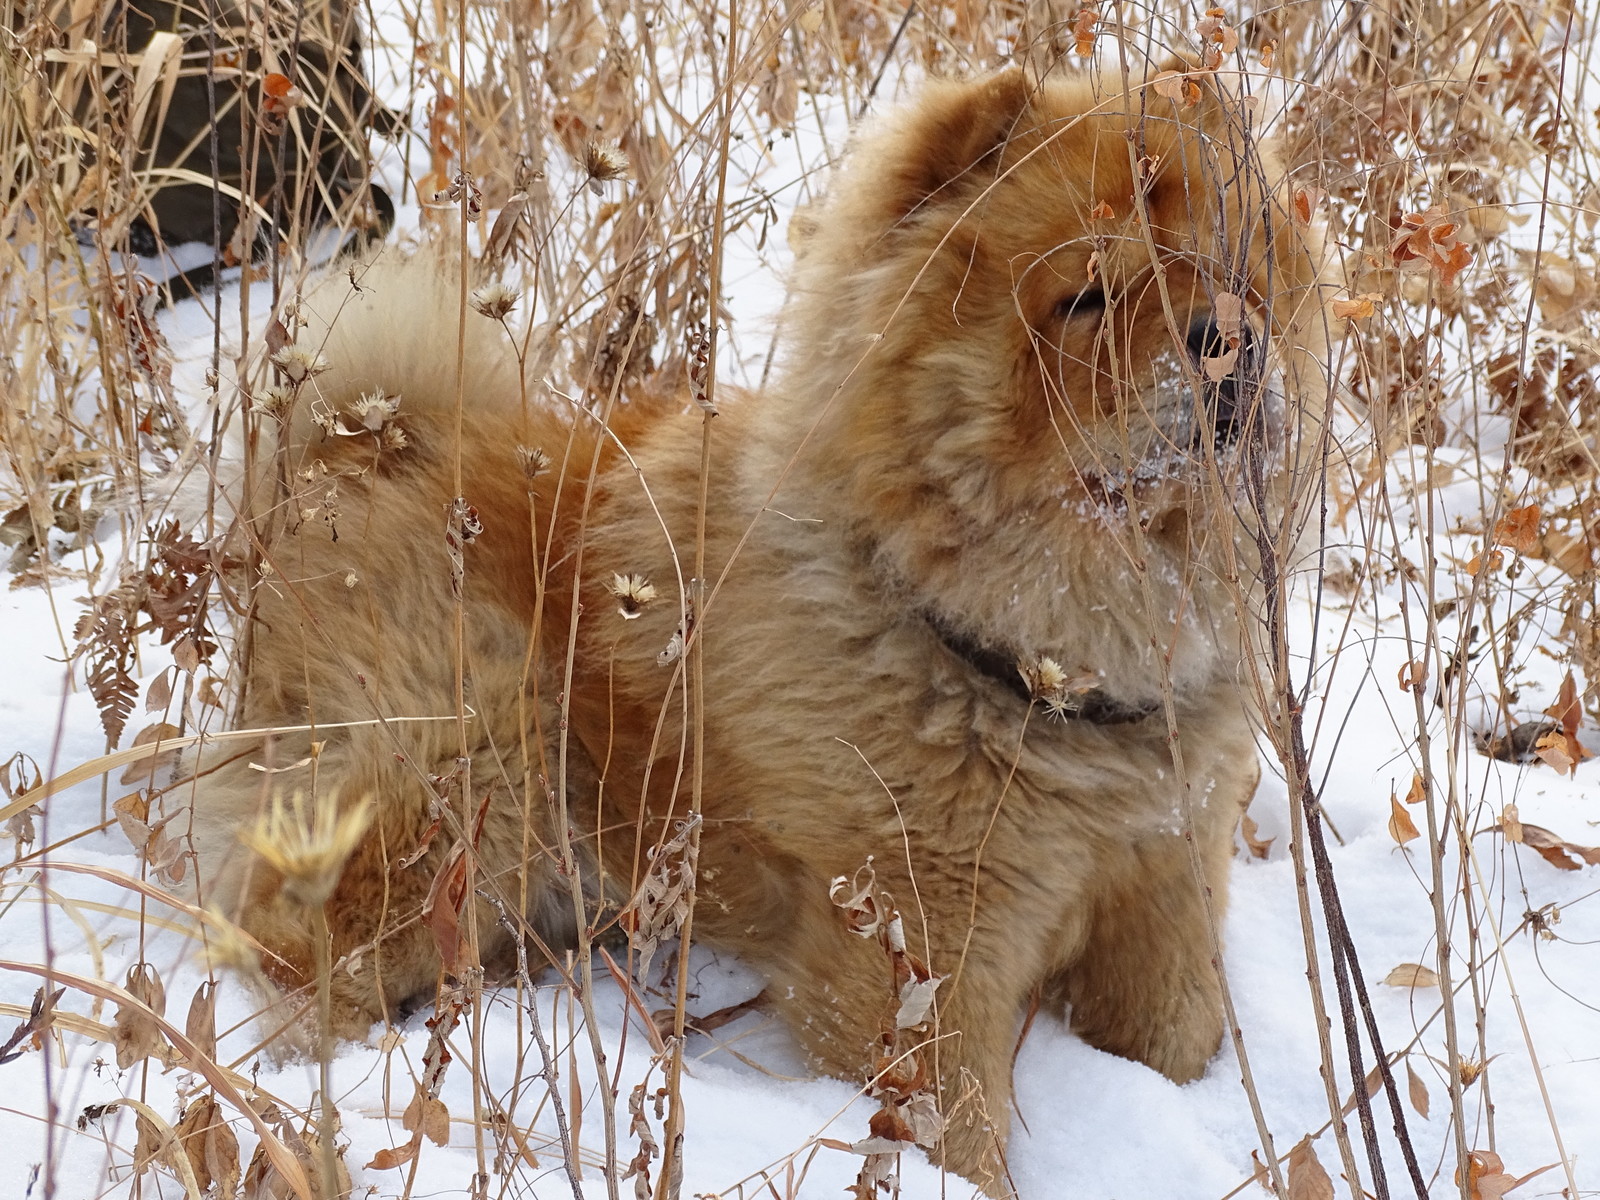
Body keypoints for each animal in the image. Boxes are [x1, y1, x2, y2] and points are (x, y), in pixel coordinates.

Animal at [190, 61, 1324, 1196]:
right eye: (1085, 296)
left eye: (1235, 273)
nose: (1229, 339)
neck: (1044, 664)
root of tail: (360, 455)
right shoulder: (929, 935)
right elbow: (951, 1121)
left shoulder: (1170, 872)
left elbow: (1177, 1034)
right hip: (477, 772)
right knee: (295, 934)